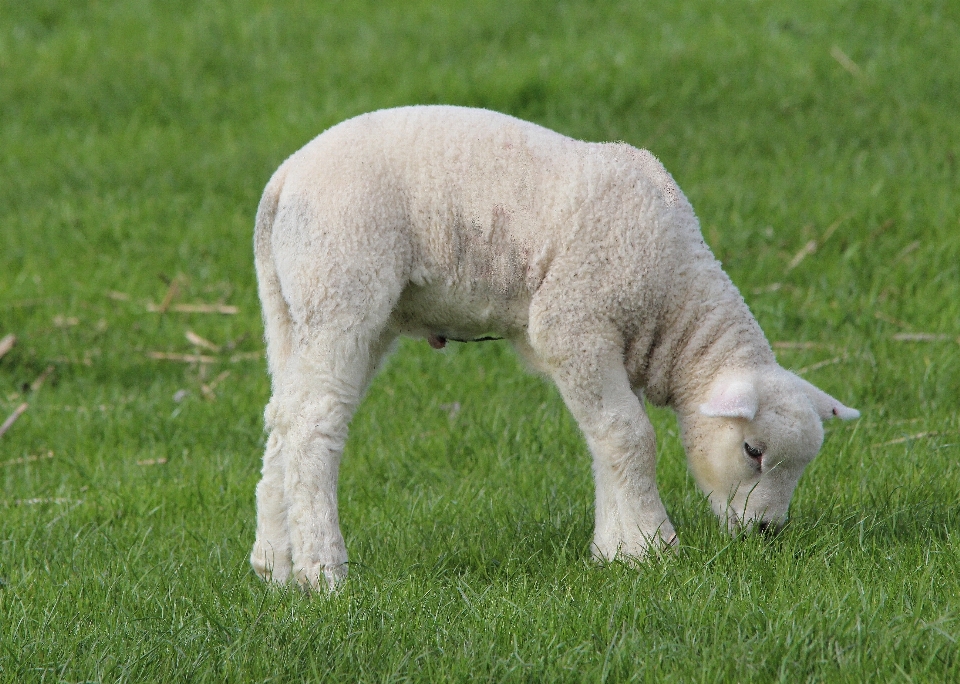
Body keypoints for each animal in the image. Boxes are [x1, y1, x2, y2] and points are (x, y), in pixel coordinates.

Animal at [249, 104, 864, 592]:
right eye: (753, 452)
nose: (766, 533)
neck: (673, 301)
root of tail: (281, 182)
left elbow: (606, 439)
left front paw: (616, 550)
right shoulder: (574, 323)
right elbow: (630, 435)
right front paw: (652, 546)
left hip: (296, 309)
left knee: (282, 418)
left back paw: (275, 566)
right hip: (342, 286)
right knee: (314, 424)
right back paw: (323, 573)